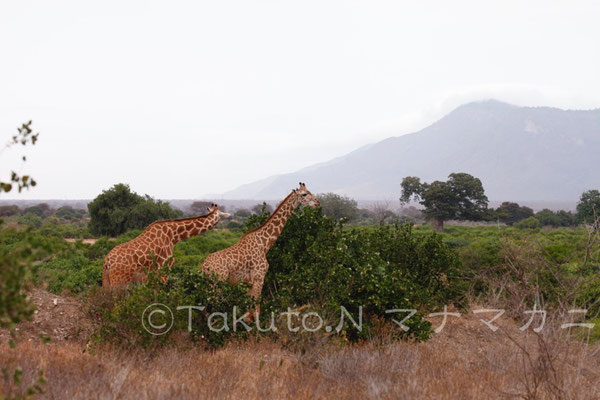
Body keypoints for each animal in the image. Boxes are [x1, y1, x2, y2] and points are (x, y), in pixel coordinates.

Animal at [102, 205, 230, 286]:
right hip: (120, 280)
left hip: (106, 280)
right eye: (221, 214)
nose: (228, 215)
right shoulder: (164, 268)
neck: (174, 235)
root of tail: (107, 260)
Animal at [202, 183, 322, 318]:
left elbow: (249, 312)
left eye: (309, 191)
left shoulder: (248, 282)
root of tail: (203, 266)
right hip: (217, 284)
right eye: (304, 194)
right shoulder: (259, 278)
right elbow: (257, 310)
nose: (318, 203)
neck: (264, 245)